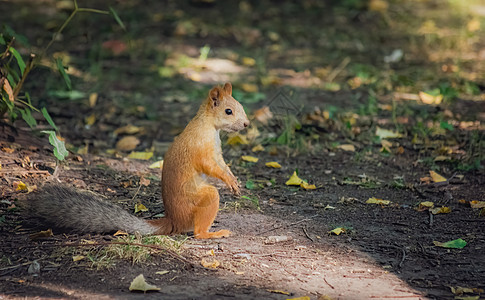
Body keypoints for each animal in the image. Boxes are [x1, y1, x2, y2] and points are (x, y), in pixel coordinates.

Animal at [25, 82, 250, 239]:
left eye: (241, 106)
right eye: (228, 111)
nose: (247, 124)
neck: (209, 126)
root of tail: (174, 221)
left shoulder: (217, 152)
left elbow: (222, 166)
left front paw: (234, 181)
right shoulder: (201, 148)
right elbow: (210, 166)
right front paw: (229, 181)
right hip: (198, 199)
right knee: (198, 230)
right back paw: (211, 233)